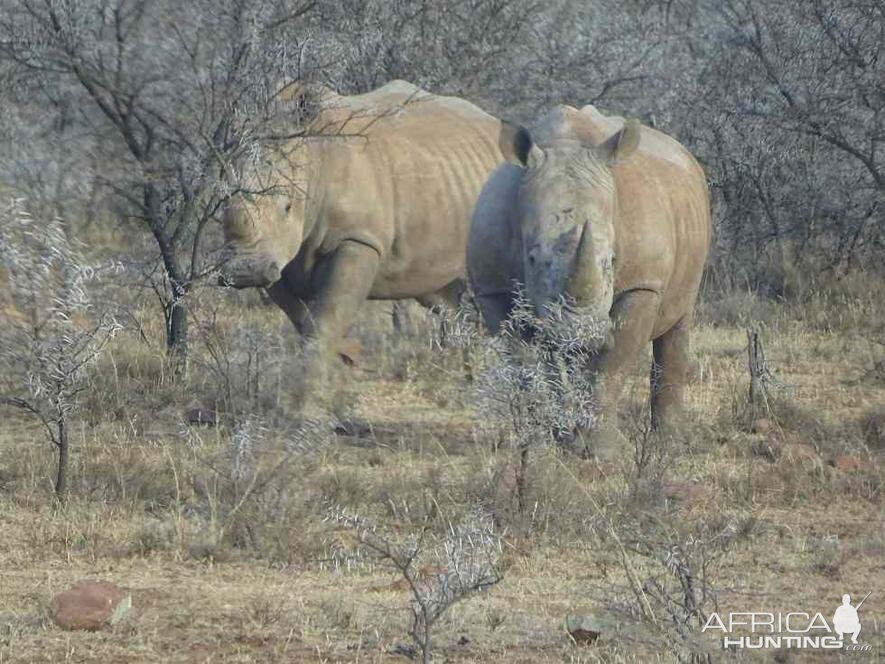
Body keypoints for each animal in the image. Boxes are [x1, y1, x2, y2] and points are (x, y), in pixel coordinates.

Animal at [219, 81, 504, 404]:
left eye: (288, 207)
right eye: (221, 204)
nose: (243, 272)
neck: (315, 157)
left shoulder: (358, 238)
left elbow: (328, 315)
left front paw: (308, 401)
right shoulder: (277, 255)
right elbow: (305, 318)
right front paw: (344, 362)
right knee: (439, 292)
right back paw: (469, 377)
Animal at [470, 105, 712, 430]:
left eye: (611, 260)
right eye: (531, 259)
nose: (581, 333)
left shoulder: (643, 284)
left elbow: (610, 370)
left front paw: (598, 442)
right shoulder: (492, 288)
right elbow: (526, 367)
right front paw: (546, 436)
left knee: (678, 321)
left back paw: (669, 437)